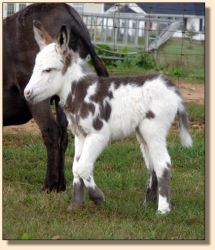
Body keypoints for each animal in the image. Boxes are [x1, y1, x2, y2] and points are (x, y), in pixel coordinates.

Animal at [24, 23, 192, 215]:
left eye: (48, 70)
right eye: (35, 67)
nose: (26, 93)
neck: (80, 92)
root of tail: (172, 88)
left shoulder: (99, 135)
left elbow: (83, 167)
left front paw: (98, 198)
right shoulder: (80, 135)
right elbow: (76, 168)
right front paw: (75, 205)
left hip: (154, 129)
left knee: (163, 163)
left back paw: (163, 210)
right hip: (142, 132)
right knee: (152, 165)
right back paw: (147, 204)